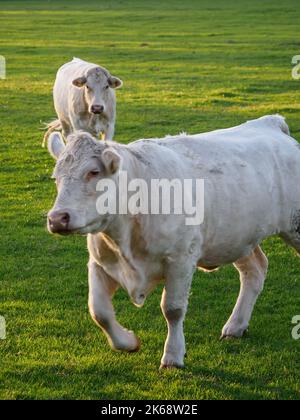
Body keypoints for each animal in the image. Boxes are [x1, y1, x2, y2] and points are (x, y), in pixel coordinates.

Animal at [45, 115, 300, 368]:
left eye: (93, 172)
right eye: (56, 177)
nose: (57, 218)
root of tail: (270, 123)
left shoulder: (180, 260)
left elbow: (173, 309)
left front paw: (173, 355)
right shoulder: (100, 263)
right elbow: (99, 311)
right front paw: (127, 342)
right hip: (235, 236)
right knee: (254, 270)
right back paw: (236, 325)